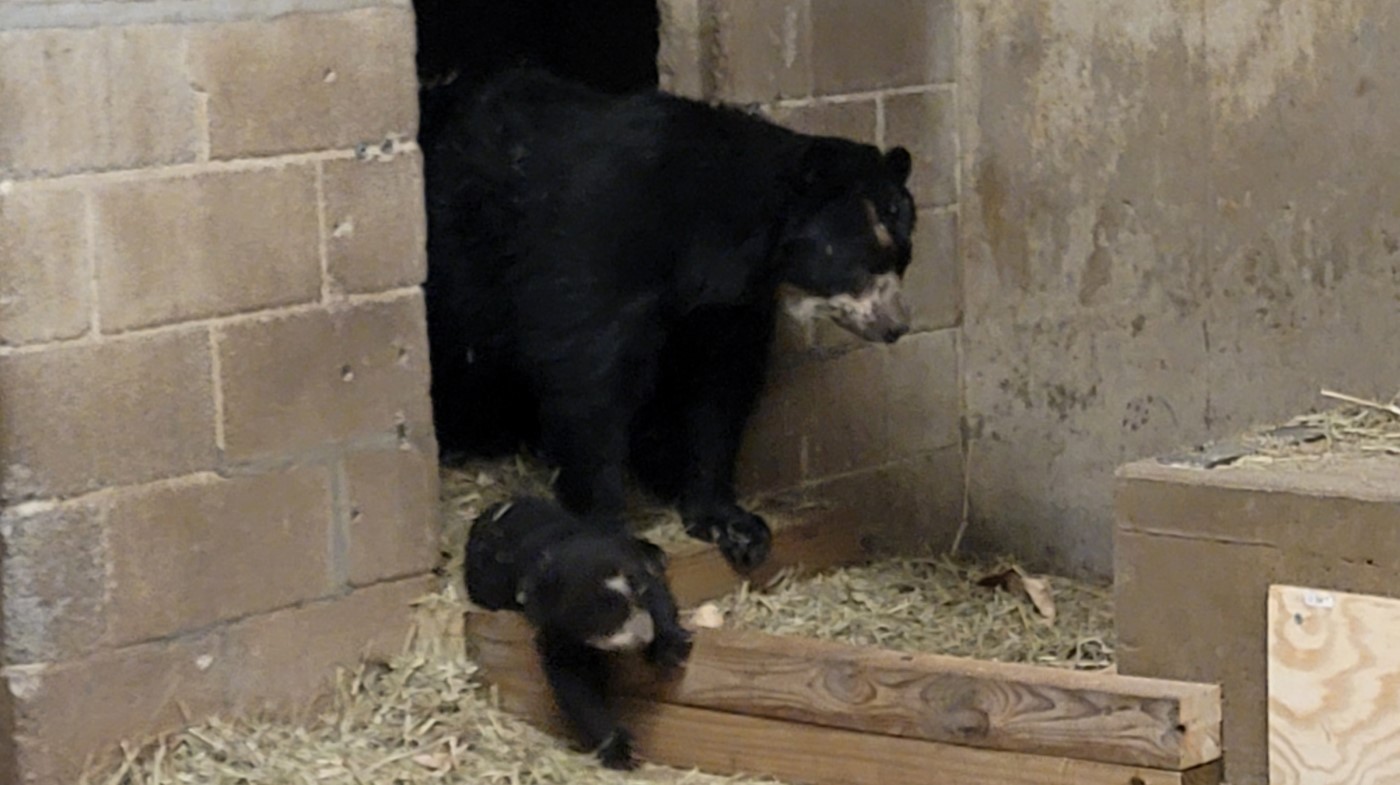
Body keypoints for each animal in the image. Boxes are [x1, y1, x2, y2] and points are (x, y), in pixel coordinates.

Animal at [431, 68, 924, 568]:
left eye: (902, 259)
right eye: (861, 260)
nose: (896, 326)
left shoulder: (727, 306)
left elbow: (719, 389)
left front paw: (734, 523)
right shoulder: (597, 246)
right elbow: (589, 379)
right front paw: (621, 537)